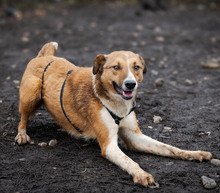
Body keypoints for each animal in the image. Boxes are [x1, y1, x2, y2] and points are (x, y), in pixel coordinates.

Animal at [15, 41, 211, 187]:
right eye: (116, 67)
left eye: (136, 67)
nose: (131, 84)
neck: (116, 104)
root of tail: (44, 56)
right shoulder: (109, 145)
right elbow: (129, 160)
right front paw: (141, 174)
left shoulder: (134, 137)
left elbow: (169, 148)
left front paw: (195, 153)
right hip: (33, 90)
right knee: (22, 119)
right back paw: (22, 135)